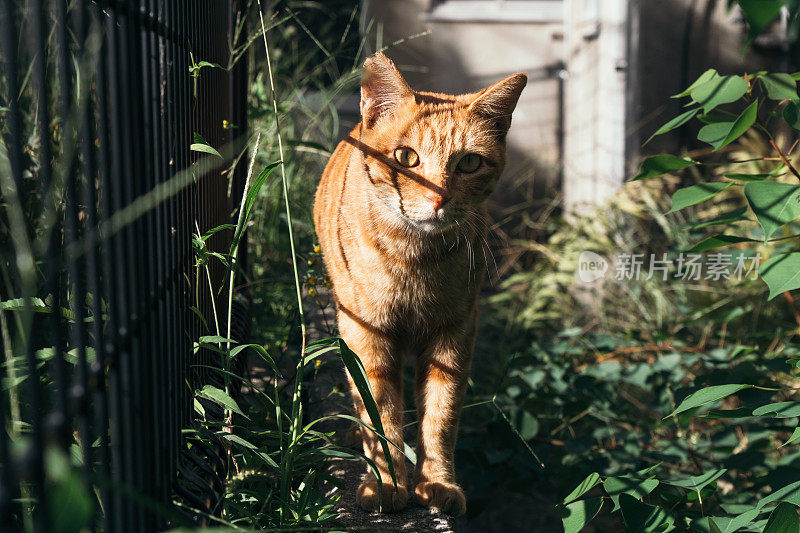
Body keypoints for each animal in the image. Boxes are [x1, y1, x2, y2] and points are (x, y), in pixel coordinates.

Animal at [312, 52, 524, 512]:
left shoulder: (455, 332)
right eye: (407, 157)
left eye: (469, 162)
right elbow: (380, 413)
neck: (414, 260)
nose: (437, 199)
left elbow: (440, 415)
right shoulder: (367, 334)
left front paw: (437, 483)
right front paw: (387, 483)